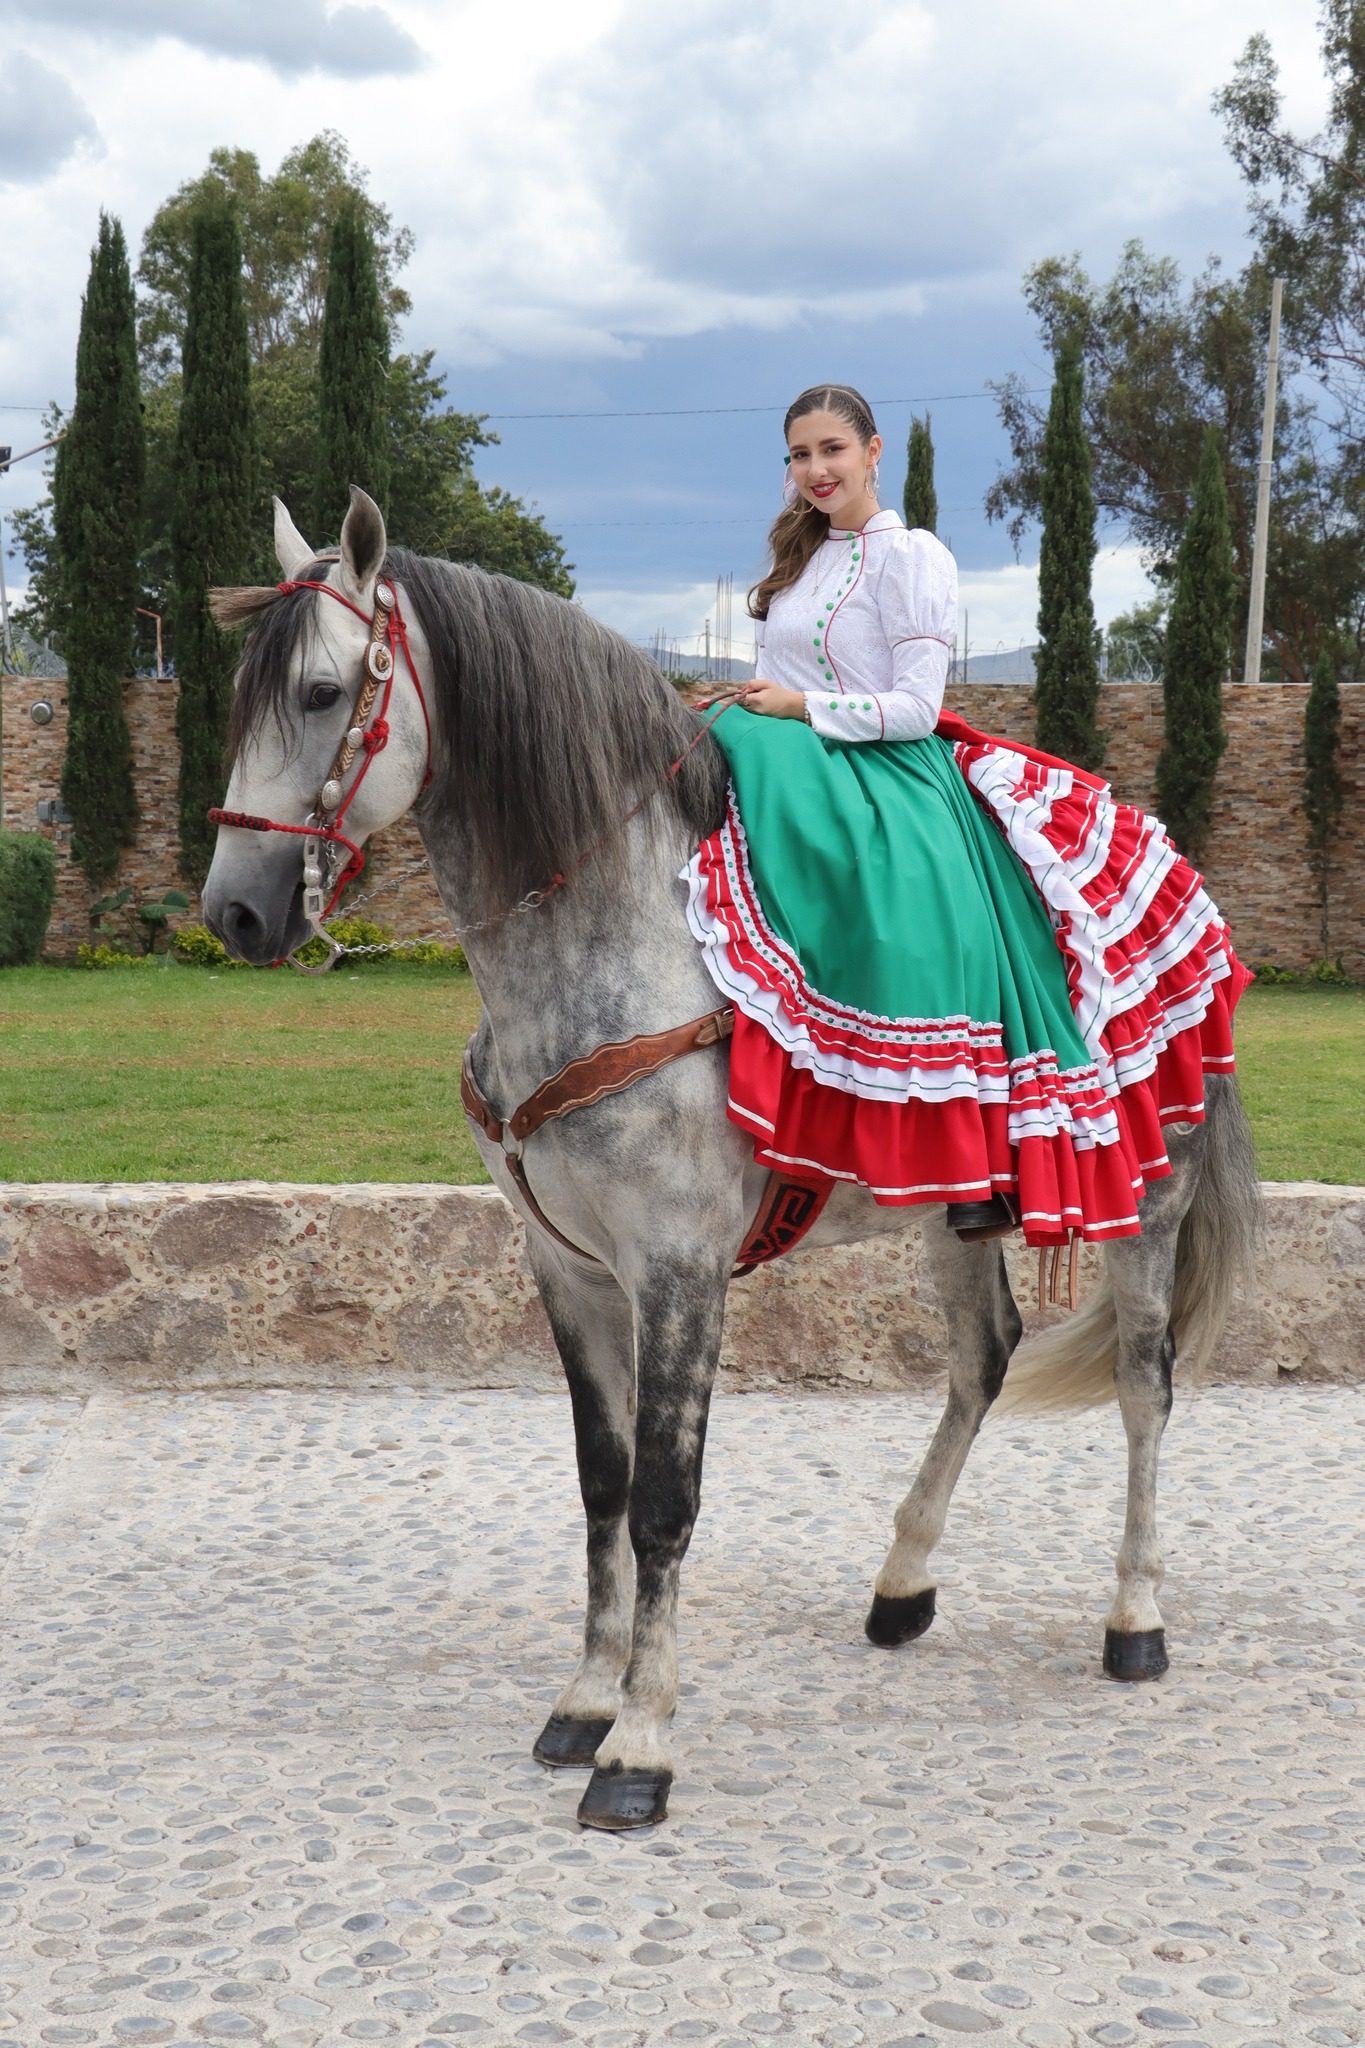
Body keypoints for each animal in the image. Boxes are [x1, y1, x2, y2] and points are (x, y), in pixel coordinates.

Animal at [200, 487, 1260, 1835]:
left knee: (1142, 1385)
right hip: (950, 1205)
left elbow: (665, 1497)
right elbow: (602, 1482)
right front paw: (585, 1697)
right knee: (984, 1359)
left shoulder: (679, 1268)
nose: (233, 911)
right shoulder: (568, 1267)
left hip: (1149, 1195)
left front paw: (641, 1744)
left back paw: (1135, 1616)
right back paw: (902, 1582)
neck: (619, 939)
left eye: (326, 691)